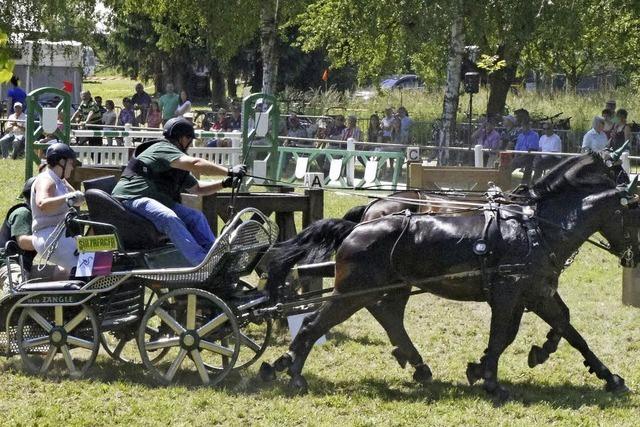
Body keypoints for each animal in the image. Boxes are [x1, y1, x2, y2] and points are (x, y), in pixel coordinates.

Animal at [262, 154, 640, 402]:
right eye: (633, 213)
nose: (633, 257)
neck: (536, 227)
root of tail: (358, 226)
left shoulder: (536, 292)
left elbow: (569, 330)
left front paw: (608, 376)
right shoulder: (509, 295)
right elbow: (502, 335)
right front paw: (491, 381)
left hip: (389, 288)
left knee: (387, 317)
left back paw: (417, 366)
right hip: (353, 293)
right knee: (313, 324)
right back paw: (291, 371)